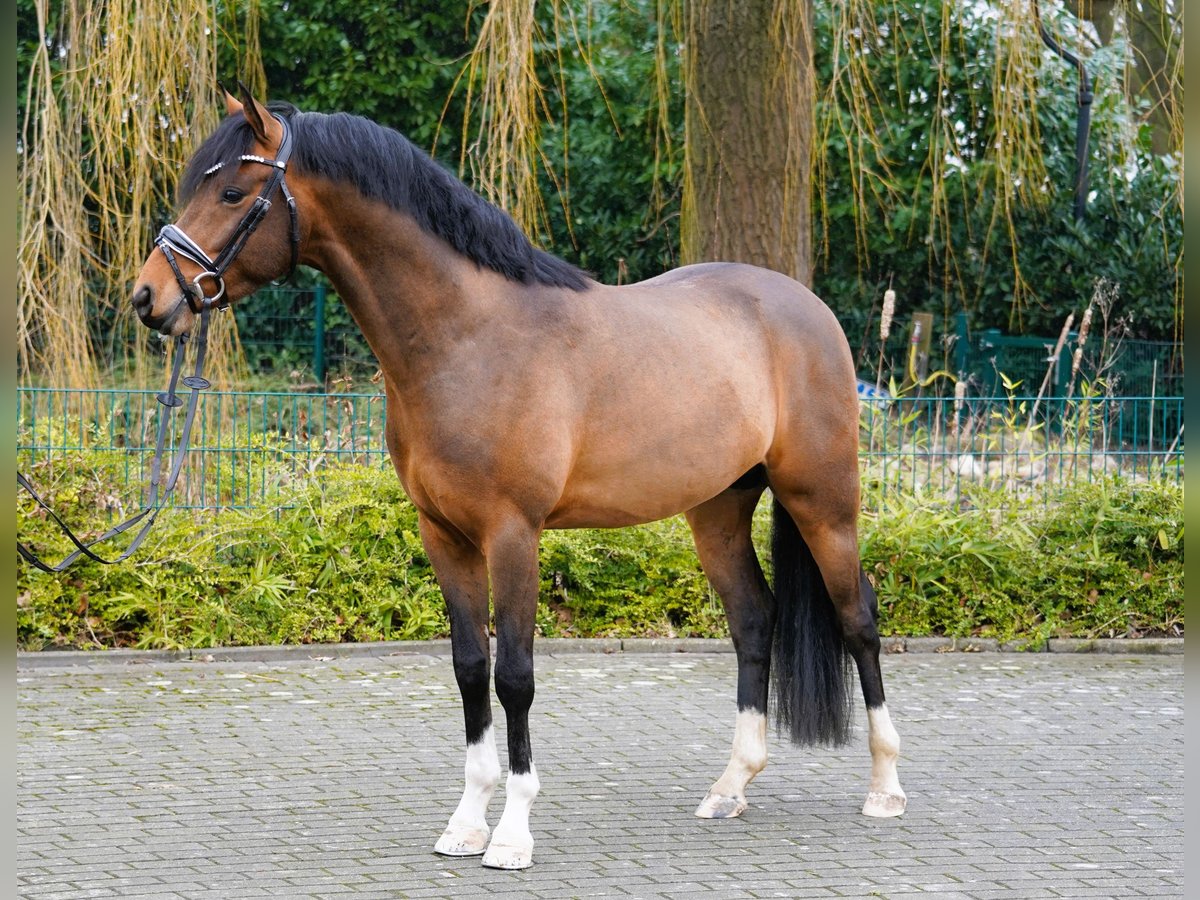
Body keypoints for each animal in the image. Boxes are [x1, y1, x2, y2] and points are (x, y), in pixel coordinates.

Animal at [131, 88, 902, 868]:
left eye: (232, 193)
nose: (148, 298)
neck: (467, 339)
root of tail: (804, 307)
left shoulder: (513, 535)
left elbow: (516, 677)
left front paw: (512, 833)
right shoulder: (443, 535)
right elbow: (471, 668)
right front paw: (467, 822)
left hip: (823, 501)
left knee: (858, 620)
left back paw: (884, 788)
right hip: (716, 511)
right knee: (753, 621)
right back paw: (730, 786)